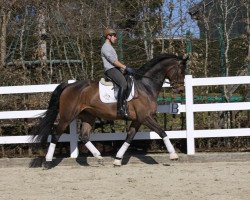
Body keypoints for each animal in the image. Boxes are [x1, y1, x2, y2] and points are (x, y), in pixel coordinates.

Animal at [31, 53, 187, 167]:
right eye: (181, 70)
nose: (180, 89)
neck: (145, 86)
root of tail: (68, 86)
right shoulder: (145, 117)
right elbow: (162, 132)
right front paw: (174, 155)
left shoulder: (138, 119)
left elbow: (129, 137)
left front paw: (117, 159)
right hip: (67, 116)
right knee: (56, 134)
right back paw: (48, 162)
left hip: (88, 116)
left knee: (84, 136)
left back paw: (99, 157)